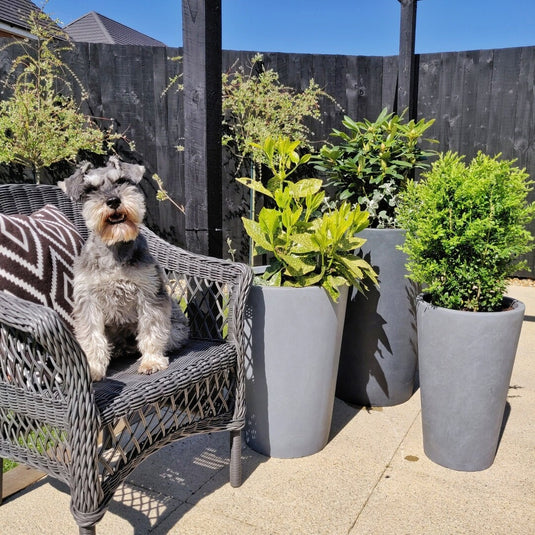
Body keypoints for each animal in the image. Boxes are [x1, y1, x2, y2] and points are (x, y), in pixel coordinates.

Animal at [59, 155, 189, 382]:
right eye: (90, 189)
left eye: (120, 181)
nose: (113, 201)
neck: (115, 250)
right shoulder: (88, 300)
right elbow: (91, 337)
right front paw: (93, 368)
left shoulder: (149, 293)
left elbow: (151, 329)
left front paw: (151, 361)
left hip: (176, 329)